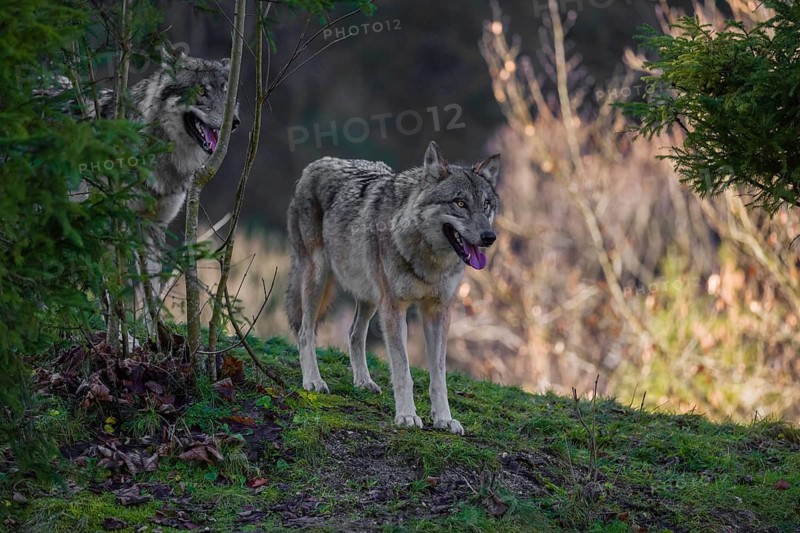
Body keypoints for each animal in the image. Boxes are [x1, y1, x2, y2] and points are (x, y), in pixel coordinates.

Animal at [285, 141, 499, 434]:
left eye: (486, 204)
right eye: (460, 203)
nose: (489, 237)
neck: (429, 261)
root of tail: (316, 164)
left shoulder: (437, 311)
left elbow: (439, 376)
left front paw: (444, 419)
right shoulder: (395, 308)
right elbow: (402, 369)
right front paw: (407, 416)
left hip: (370, 296)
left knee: (354, 334)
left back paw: (363, 382)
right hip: (318, 279)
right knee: (305, 332)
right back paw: (313, 381)